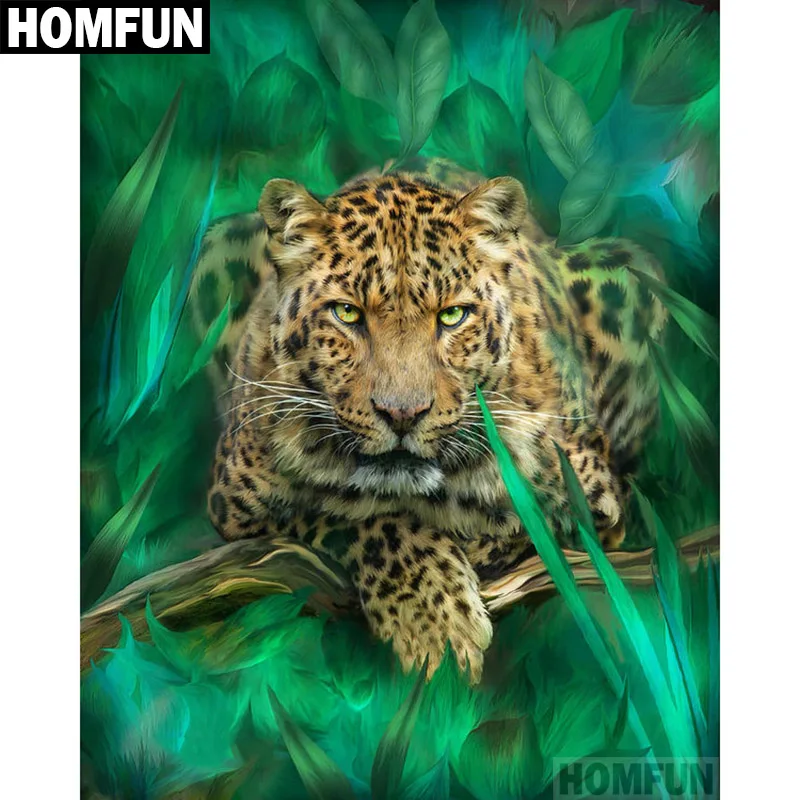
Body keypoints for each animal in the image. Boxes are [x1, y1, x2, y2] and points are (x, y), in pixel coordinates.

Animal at [189, 157, 667, 683]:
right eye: (346, 313)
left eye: (453, 315)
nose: (402, 414)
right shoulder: (236, 508)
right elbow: (352, 513)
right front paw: (431, 619)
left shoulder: (596, 500)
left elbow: (531, 524)